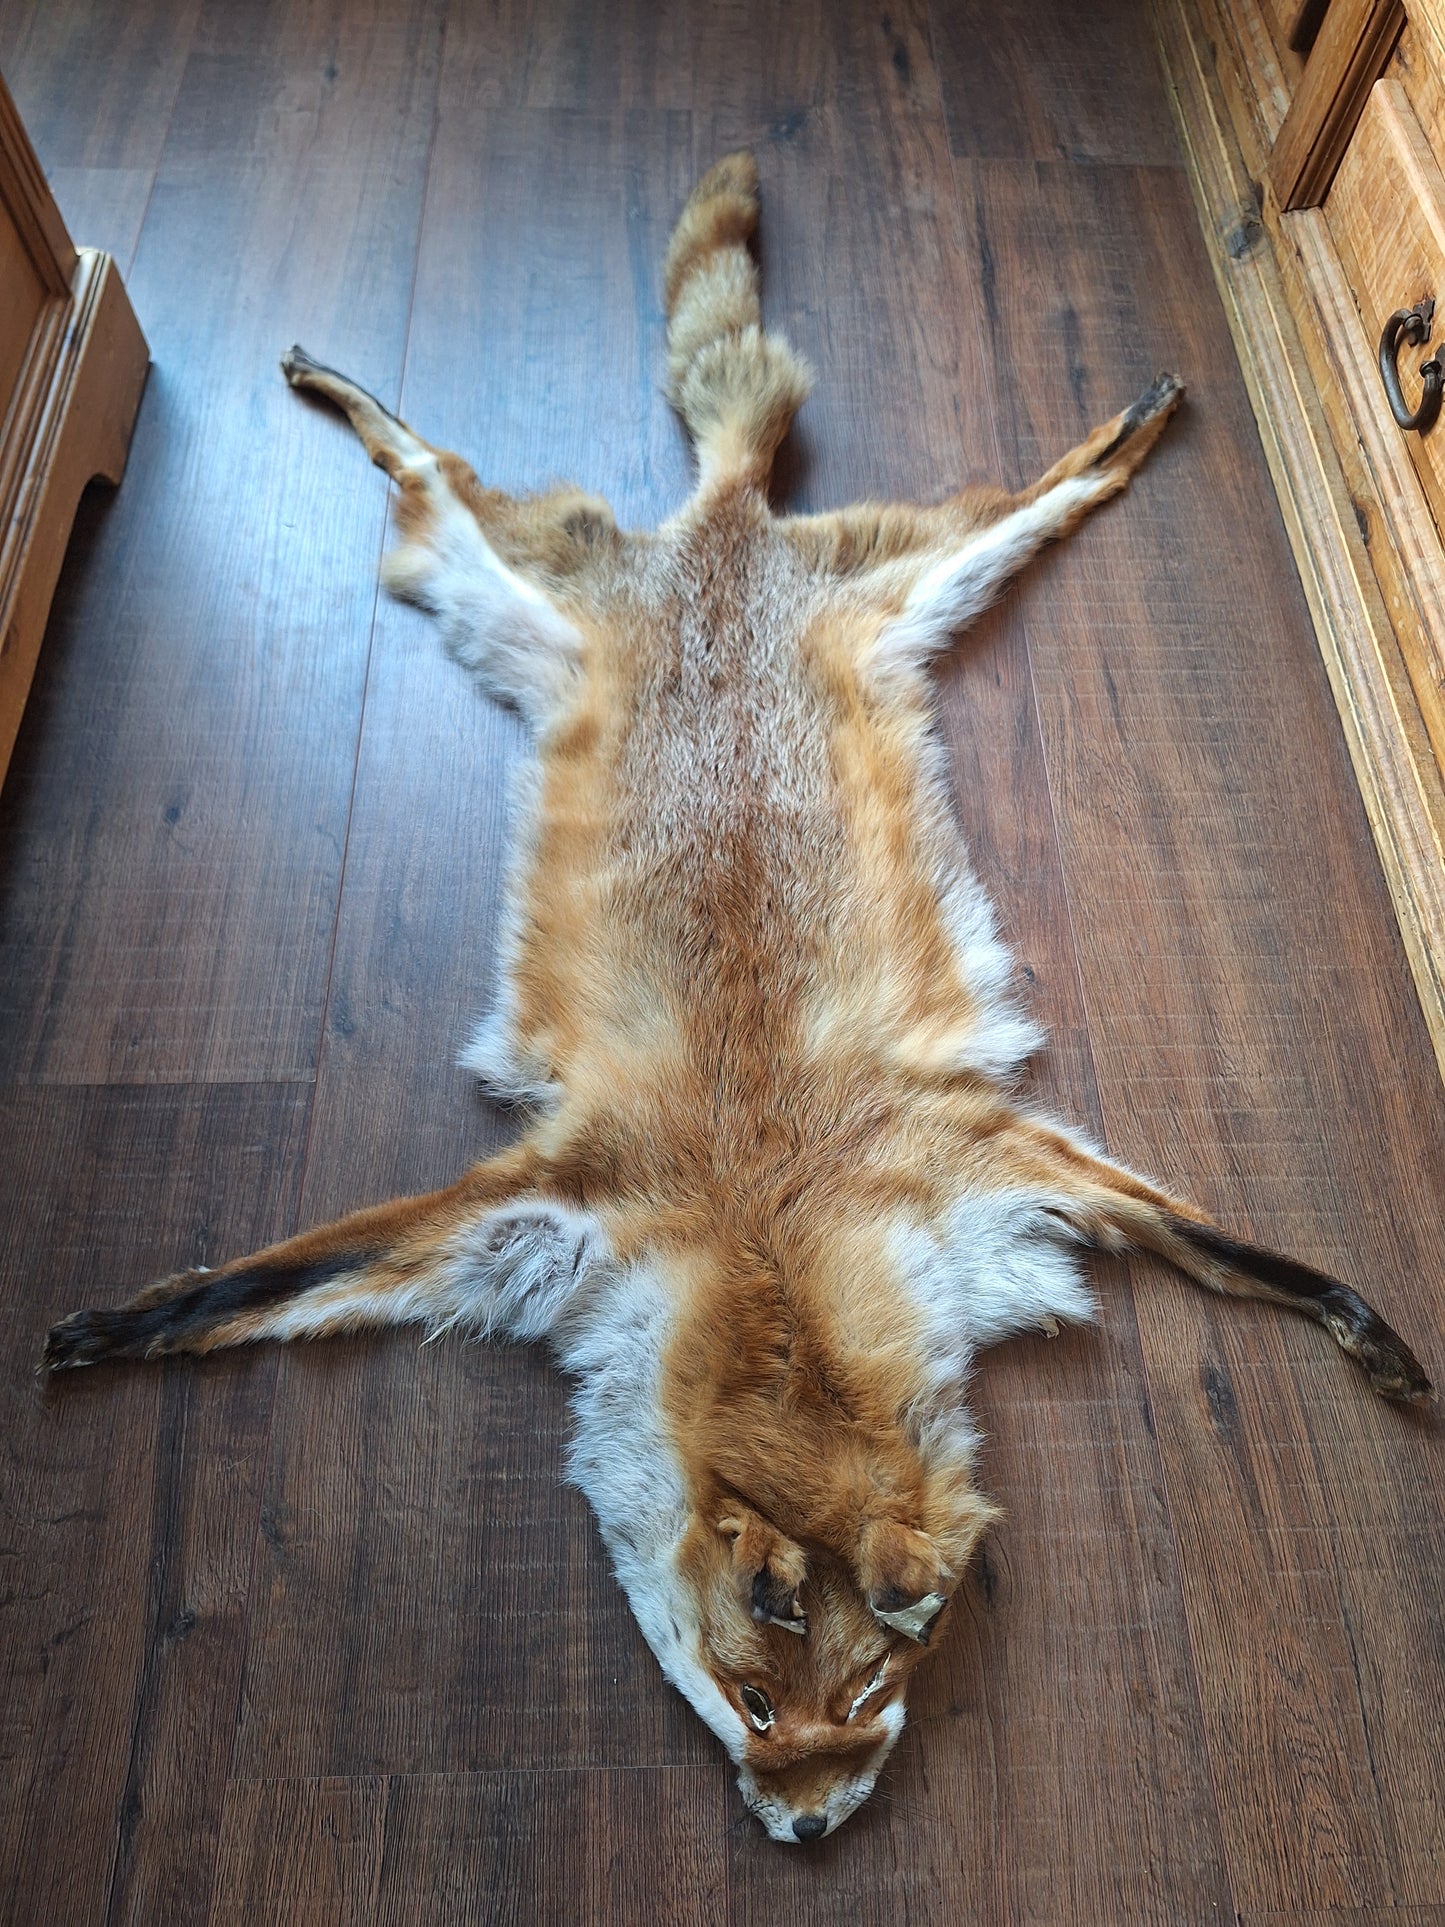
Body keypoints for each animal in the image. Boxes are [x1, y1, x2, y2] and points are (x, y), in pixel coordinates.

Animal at [41, 152, 1431, 1844]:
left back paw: (1126, 424)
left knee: (1038, 490)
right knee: (435, 462)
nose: (811, 1829)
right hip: (511, 572)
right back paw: (342, 385)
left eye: (872, 1696)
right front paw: (114, 1325)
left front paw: (1364, 1327)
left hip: (910, 575)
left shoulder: (977, 1150)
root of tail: (717, 529)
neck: (764, 1226)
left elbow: (1241, 1251)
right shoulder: (562, 1194)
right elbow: (256, 1280)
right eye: (751, 1702)